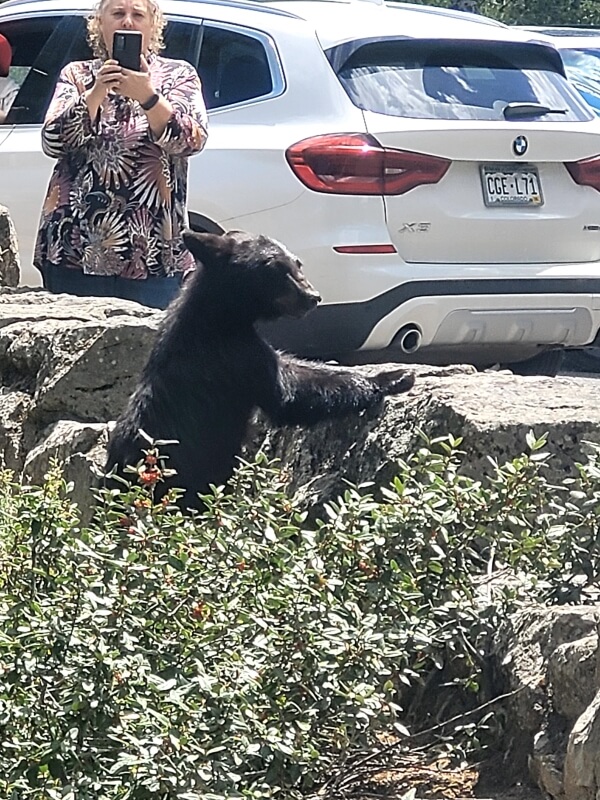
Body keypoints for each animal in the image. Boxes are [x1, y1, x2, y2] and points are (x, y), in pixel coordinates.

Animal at [105, 230, 415, 509]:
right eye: (275, 269)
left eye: (297, 262)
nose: (313, 297)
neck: (220, 315)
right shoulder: (234, 357)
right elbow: (289, 392)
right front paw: (391, 377)